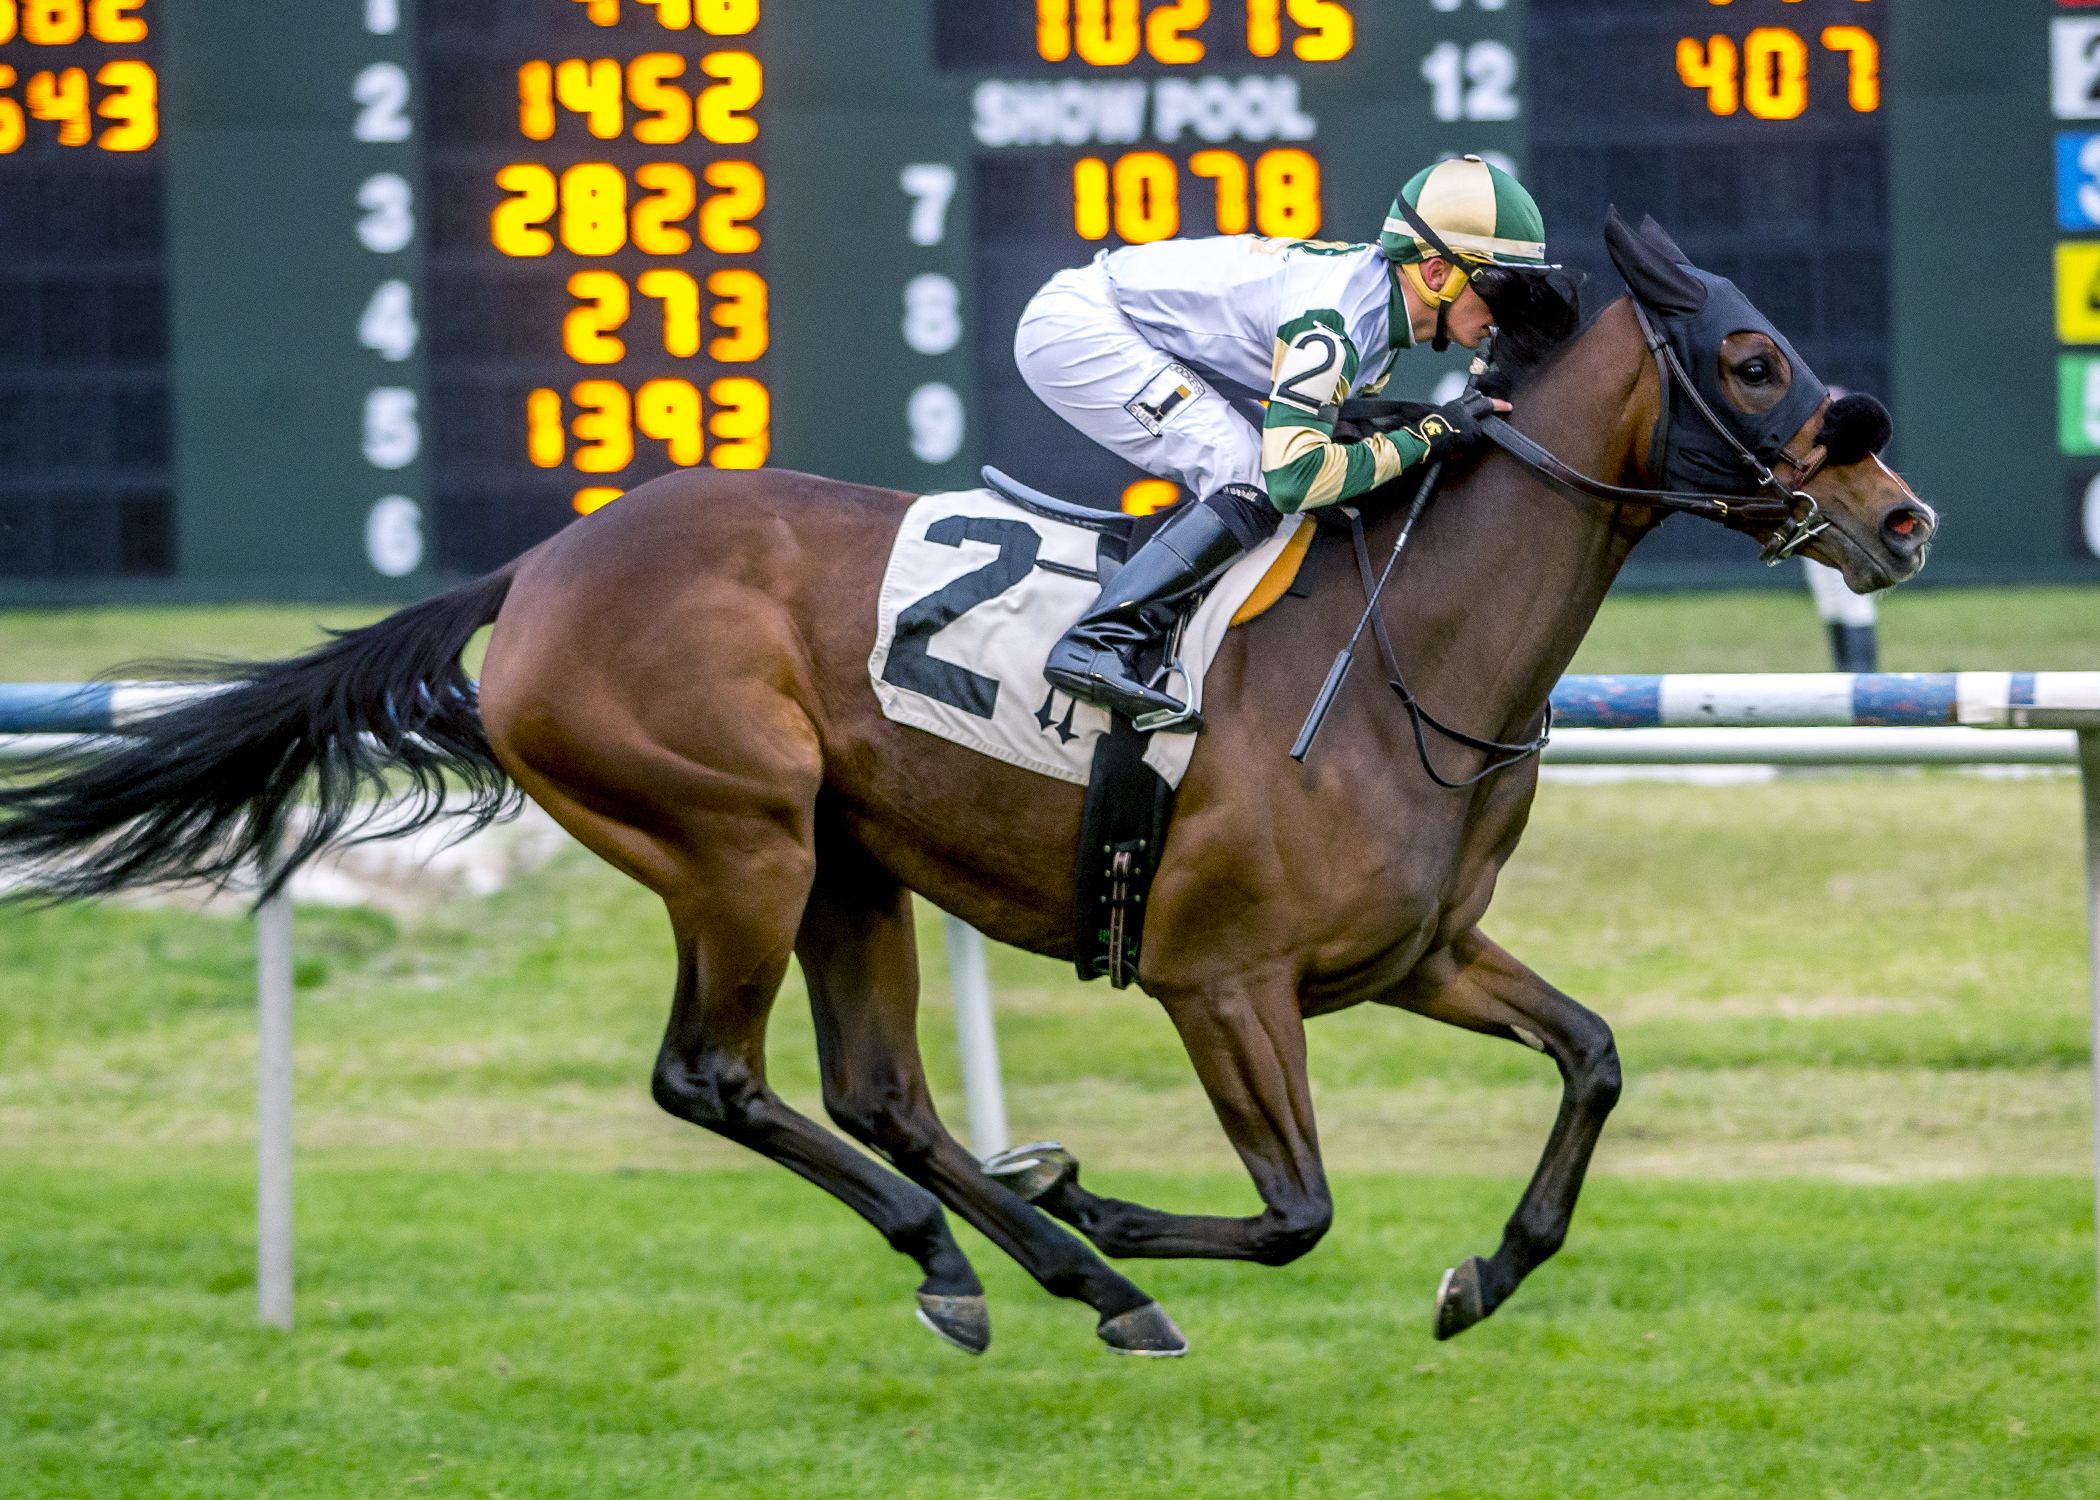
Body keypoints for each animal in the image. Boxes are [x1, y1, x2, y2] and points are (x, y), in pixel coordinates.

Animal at [0, 214, 1935, 1357]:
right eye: (1752, 361)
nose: (1901, 516)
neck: (1414, 657)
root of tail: (538, 570)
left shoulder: (1415, 958)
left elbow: (1592, 1059)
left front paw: (1482, 1275)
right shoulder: (1219, 979)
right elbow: (1298, 1212)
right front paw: (1098, 1194)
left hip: (850, 860)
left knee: (878, 1094)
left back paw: (1032, 1271)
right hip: (735, 839)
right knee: (715, 1078)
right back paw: (1024, 1260)